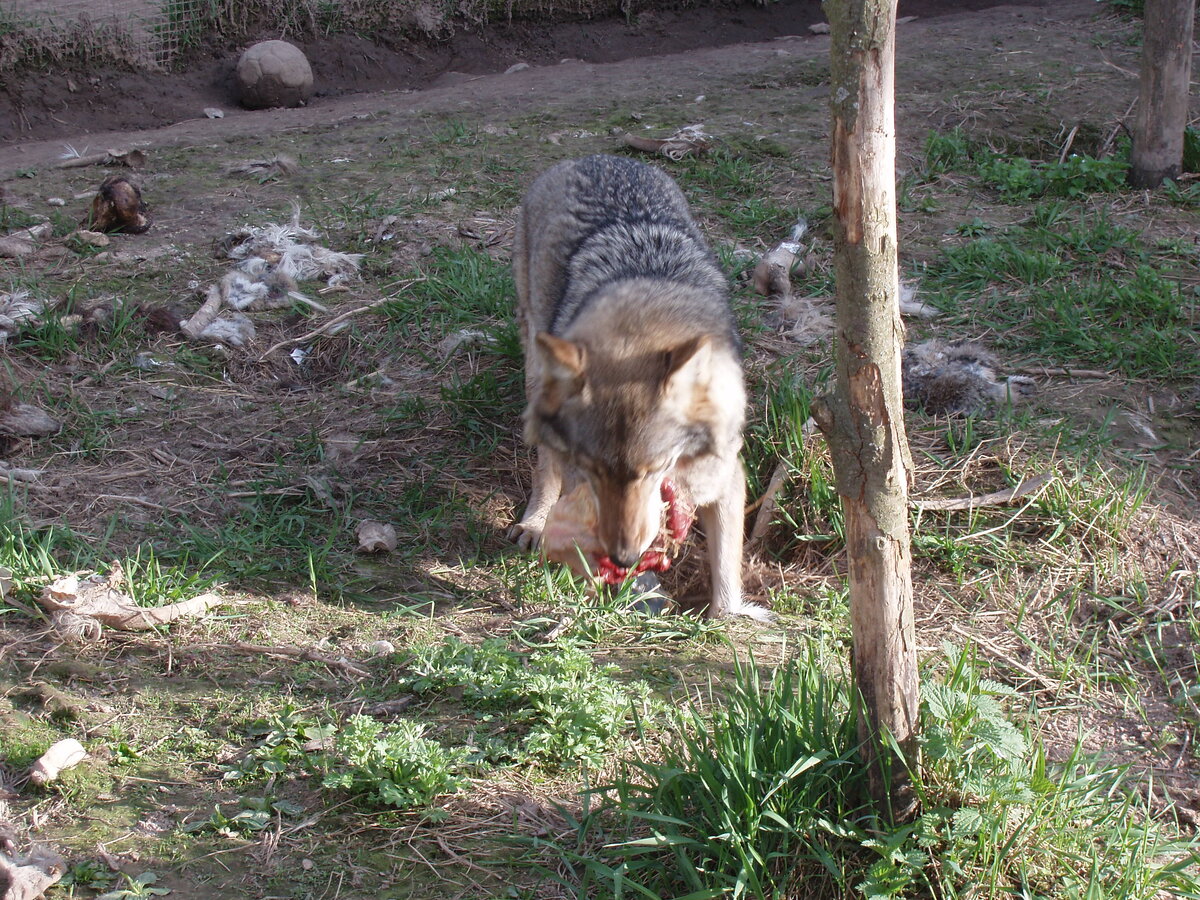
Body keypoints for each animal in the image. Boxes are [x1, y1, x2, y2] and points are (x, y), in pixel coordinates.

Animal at [511, 153, 763, 619]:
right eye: (594, 469)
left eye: (653, 469)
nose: (624, 557)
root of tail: (595, 157)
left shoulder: (726, 477)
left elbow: (726, 567)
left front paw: (723, 621)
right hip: (538, 369)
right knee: (545, 466)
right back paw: (534, 523)